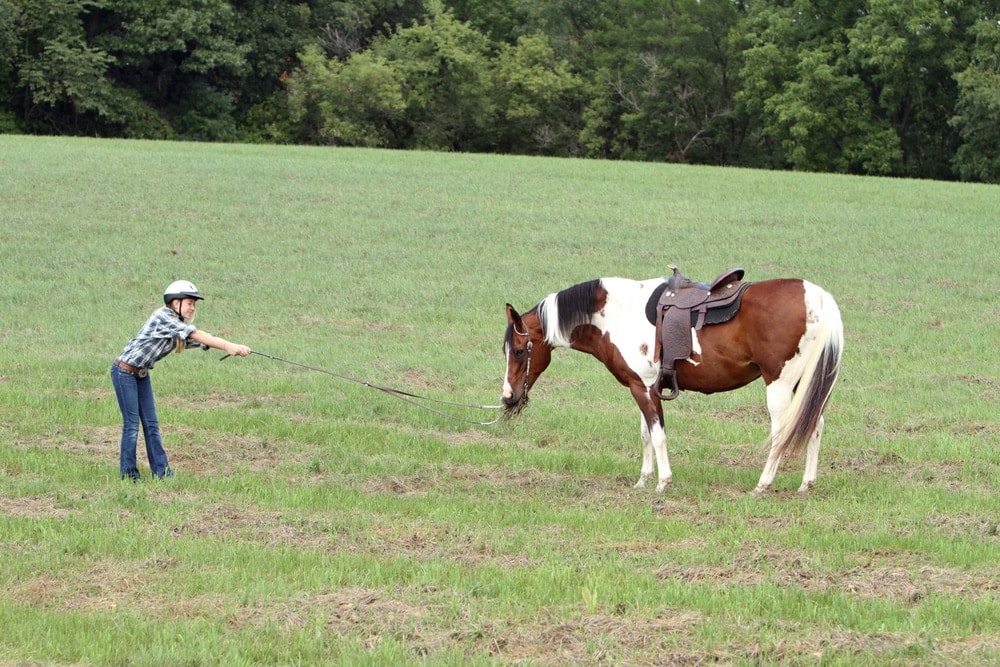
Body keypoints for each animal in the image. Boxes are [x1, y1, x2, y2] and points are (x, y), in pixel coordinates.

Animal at [500, 272, 844, 496]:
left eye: (518, 351)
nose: (507, 397)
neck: (616, 315)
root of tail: (818, 297)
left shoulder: (643, 388)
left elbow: (658, 435)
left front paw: (662, 482)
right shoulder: (641, 386)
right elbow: (645, 435)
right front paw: (643, 480)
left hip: (780, 384)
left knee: (782, 432)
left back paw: (763, 484)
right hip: (804, 384)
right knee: (815, 425)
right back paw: (806, 484)